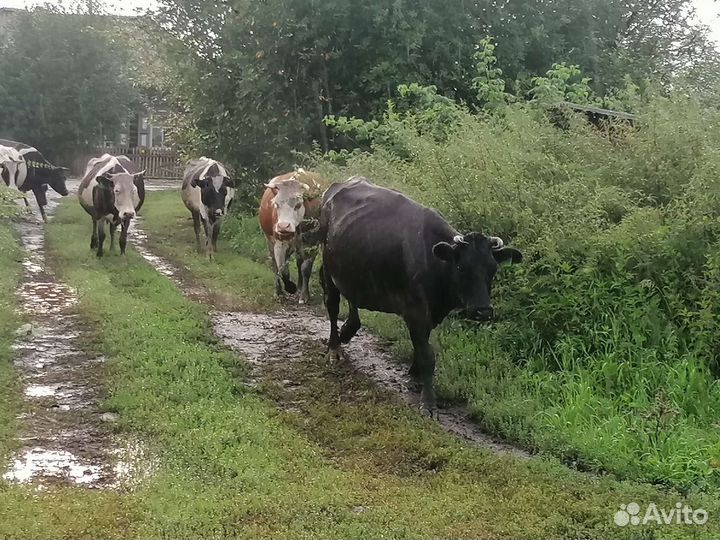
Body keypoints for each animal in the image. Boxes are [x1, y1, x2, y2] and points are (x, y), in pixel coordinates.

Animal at [259, 169, 324, 304]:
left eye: (298, 205)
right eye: (276, 204)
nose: (284, 226)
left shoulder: (313, 243)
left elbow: (305, 269)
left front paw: (304, 295)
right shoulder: (279, 242)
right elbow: (282, 269)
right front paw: (290, 288)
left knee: (299, 263)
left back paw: (299, 287)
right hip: (270, 241)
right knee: (275, 265)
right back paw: (279, 292)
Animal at [318, 177, 523, 415]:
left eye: (493, 269)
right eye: (461, 267)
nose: (483, 311)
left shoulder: (431, 313)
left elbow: (421, 345)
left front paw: (415, 375)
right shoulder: (415, 310)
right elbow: (427, 355)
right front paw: (428, 401)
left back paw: (347, 330)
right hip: (329, 269)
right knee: (332, 306)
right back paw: (334, 348)